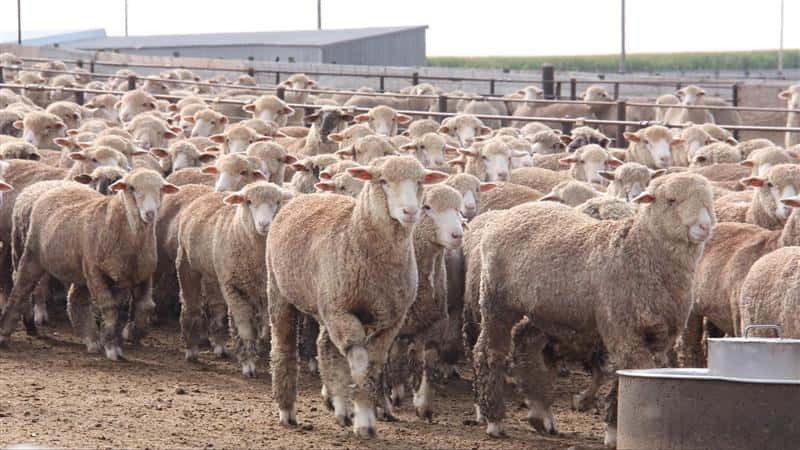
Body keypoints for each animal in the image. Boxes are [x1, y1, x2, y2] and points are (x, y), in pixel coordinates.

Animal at [0, 170, 179, 357]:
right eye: (131, 188)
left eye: (161, 189)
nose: (150, 213)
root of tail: (54, 187)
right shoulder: (95, 271)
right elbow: (109, 308)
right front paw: (112, 347)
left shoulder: (140, 274)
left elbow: (146, 306)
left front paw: (133, 331)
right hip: (31, 255)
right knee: (20, 289)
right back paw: (7, 333)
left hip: (80, 269)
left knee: (75, 299)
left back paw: (90, 339)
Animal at [177, 182, 292, 375]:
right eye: (249, 201)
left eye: (277, 202)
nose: (264, 224)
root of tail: (208, 192)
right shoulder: (233, 287)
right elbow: (245, 327)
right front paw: (248, 364)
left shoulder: (263, 288)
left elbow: (265, 327)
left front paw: (257, 349)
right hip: (187, 265)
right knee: (190, 304)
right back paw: (191, 349)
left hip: (215, 274)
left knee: (217, 307)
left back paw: (220, 346)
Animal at [265, 156, 448, 436]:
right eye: (382, 181)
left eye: (419, 182)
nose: (410, 211)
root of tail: (303, 196)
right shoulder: (342, 311)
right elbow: (360, 364)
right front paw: (364, 419)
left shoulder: (390, 321)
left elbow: (373, 366)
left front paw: (363, 413)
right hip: (280, 291)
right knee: (283, 347)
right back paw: (287, 410)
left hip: (327, 304)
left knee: (326, 347)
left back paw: (341, 407)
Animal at [386, 184, 465, 420]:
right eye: (427, 207)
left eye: (458, 209)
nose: (457, 234)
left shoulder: (437, 322)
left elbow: (429, 363)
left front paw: (424, 404)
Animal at [472, 173, 714, 444]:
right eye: (671, 200)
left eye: (709, 201)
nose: (705, 227)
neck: (637, 251)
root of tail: (510, 213)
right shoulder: (623, 329)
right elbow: (629, 372)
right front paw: (615, 430)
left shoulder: (660, 337)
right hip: (496, 301)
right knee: (488, 351)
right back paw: (493, 418)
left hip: (547, 312)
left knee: (524, 340)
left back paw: (540, 412)